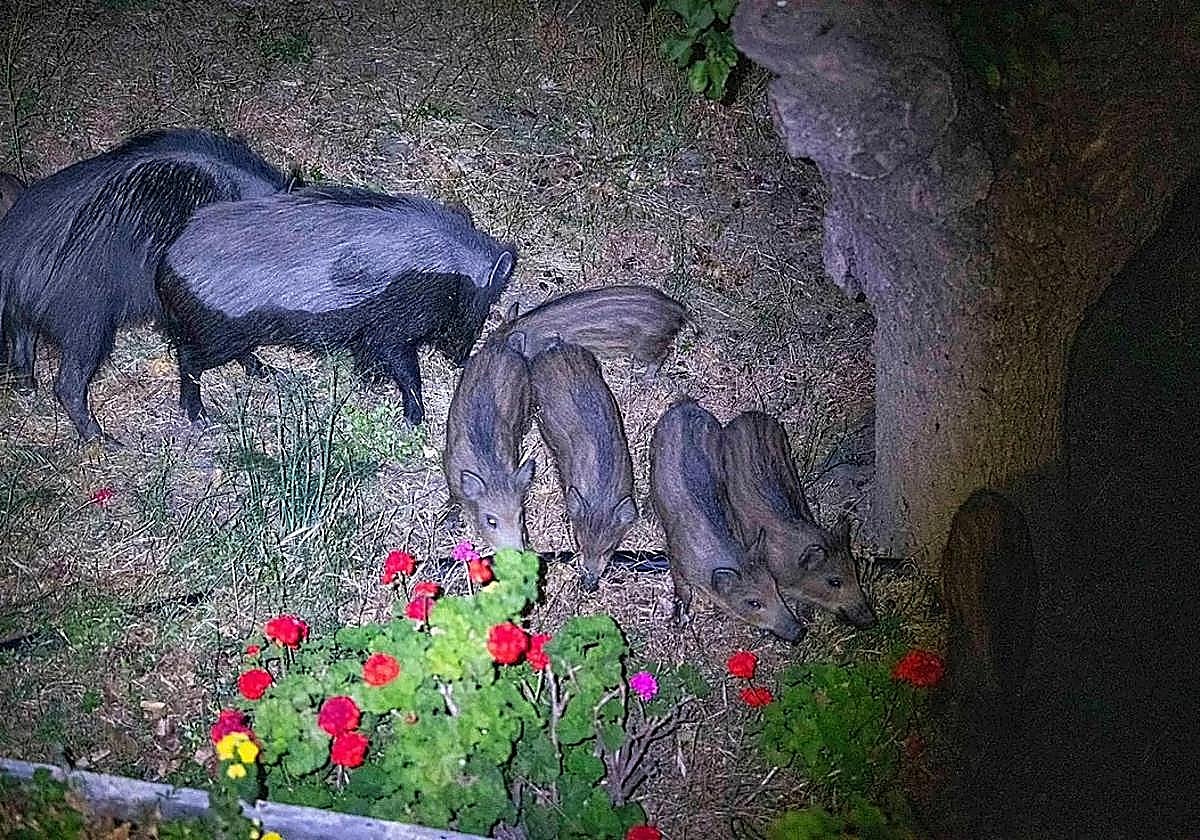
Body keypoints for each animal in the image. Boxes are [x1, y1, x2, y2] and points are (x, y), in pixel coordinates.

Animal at [0, 129, 290, 442]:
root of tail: (13, 252)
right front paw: (197, 412)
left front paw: (265, 371)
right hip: (87, 323)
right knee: (68, 384)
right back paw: (102, 439)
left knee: (22, 340)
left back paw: (27, 386)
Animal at [156, 184, 517, 427]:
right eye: (481, 307)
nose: (461, 358)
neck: (450, 262)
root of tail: (167, 264)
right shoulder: (400, 309)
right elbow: (400, 358)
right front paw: (414, 414)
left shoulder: (372, 319)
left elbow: (370, 350)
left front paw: (371, 380)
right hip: (220, 323)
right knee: (191, 358)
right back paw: (196, 410)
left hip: (235, 326)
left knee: (234, 351)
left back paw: (268, 371)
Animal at [649, 399, 805, 641]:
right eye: (753, 602)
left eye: (775, 587)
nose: (799, 632)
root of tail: (686, 404)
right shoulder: (674, 555)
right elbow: (681, 586)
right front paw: (679, 620)